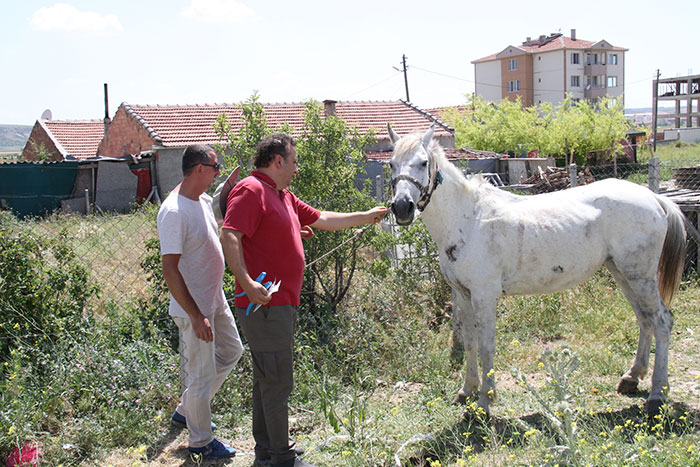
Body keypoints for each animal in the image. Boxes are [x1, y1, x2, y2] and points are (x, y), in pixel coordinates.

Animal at [392, 124, 688, 416]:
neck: (468, 219)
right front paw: (467, 391)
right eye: (392, 164)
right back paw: (632, 377)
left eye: (423, 162)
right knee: (644, 319)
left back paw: (657, 395)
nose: (402, 207)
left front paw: (485, 403)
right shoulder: (464, 295)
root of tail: (652, 197)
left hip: (640, 276)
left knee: (662, 321)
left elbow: (487, 346)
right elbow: (470, 343)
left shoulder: (484, 296)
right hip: (622, 272)